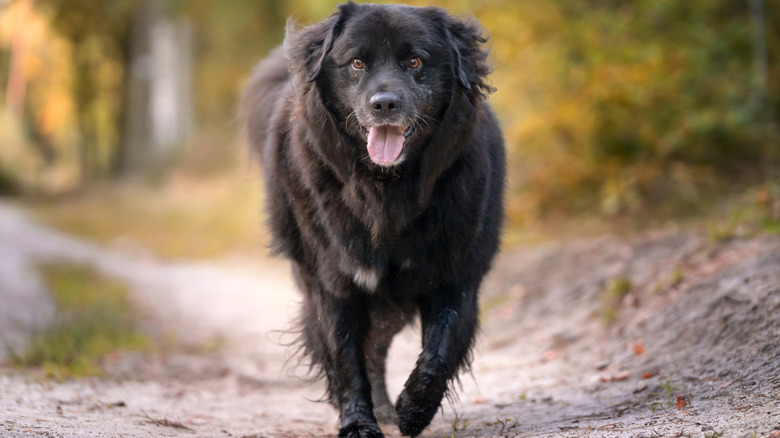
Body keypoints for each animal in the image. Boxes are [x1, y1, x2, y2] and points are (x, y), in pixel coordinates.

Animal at [244, 2, 506, 434]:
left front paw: (414, 410)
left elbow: (441, 347)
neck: (386, 189)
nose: (384, 103)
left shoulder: (456, 273)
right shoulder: (333, 281)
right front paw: (357, 422)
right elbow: (345, 358)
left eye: (415, 61)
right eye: (357, 63)